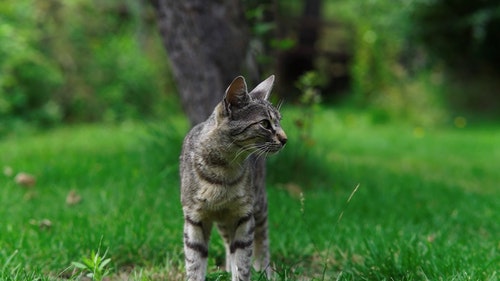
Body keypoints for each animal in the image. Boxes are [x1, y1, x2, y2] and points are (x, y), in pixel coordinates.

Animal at [181, 75, 290, 280]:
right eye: (265, 124)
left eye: (279, 121)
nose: (285, 139)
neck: (223, 170)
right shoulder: (194, 217)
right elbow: (195, 262)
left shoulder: (244, 216)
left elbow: (243, 261)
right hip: (224, 220)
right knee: (228, 243)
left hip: (259, 205)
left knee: (262, 239)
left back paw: (265, 271)